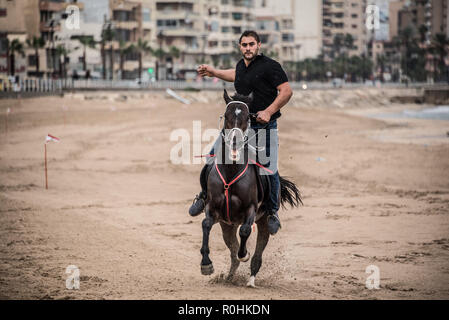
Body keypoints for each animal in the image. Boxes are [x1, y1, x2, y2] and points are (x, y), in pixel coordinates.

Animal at [200, 90, 300, 288]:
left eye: (247, 117)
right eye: (227, 116)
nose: (235, 141)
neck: (230, 172)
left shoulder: (251, 209)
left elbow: (245, 231)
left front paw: (244, 253)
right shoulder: (213, 207)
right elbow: (206, 224)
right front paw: (206, 265)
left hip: (263, 222)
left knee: (257, 253)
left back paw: (251, 279)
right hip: (226, 224)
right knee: (232, 252)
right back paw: (230, 277)